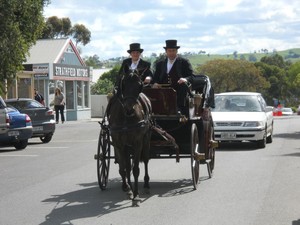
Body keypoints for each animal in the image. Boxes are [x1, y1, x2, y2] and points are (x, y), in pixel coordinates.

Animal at [106, 66, 151, 206]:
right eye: (123, 84)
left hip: (145, 140)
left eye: (140, 85)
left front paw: (136, 195)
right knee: (126, 164)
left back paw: (146, 184)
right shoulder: (118, 143)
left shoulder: (138, 142)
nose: (129, 108)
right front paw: (128, 188)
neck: (126, 117)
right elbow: (124, 168)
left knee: (146, 160)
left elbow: (136, 169)